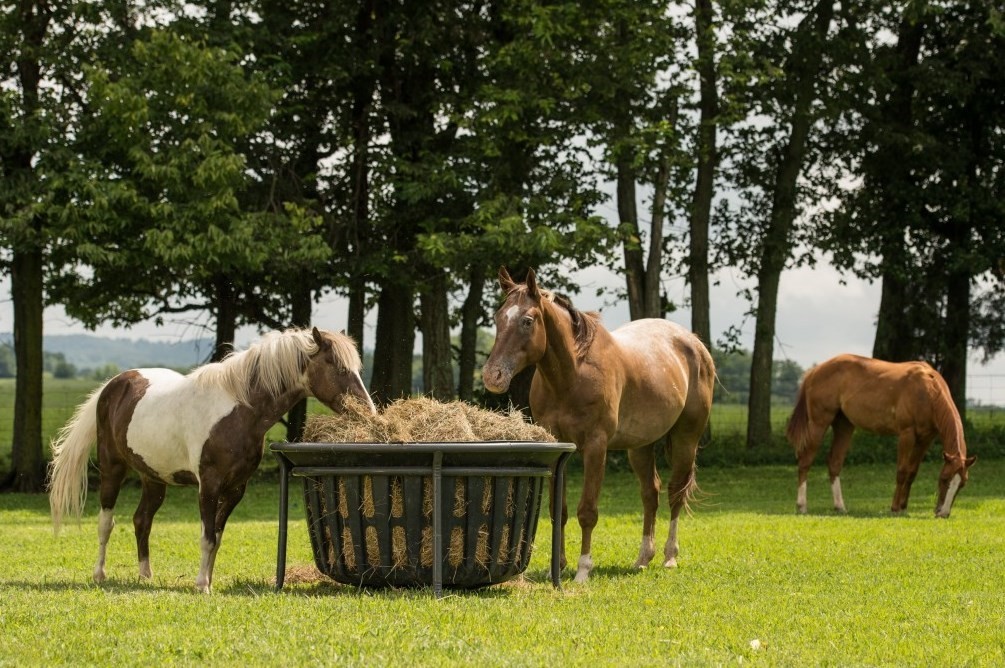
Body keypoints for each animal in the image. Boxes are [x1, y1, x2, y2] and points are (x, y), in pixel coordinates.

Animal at [47, 325, 377, 590]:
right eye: (337, 366)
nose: (368, 411)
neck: (239, 410)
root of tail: (113, 385)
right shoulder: (209, 485)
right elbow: (206, 536)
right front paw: (201, 585)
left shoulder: (235, 489)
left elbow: (217, 536)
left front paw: (209, 580)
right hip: (111, 468)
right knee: (106, 522)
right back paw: (99, 574)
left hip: (153, 478)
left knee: (142, 520)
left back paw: (145, 575)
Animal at [480, 269, 711, 582]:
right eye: (498, 317)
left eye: (527, 320)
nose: (493, 376)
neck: (573, 375)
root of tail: (693, 342)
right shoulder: (557, 447)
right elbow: (558, 509)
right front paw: (557, 565)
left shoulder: (595, 447)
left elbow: (587, 511)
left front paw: (582, 570)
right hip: (640, 447)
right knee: (650, 494)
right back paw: (643, 558)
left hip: (687, 439)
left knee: (675, 492)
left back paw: (669, 557)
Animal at [783, 353, 972, 514]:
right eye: (944, 479)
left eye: (962, 484)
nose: (943, 513)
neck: (928, 391)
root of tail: (814, 371)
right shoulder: (906, 435)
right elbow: (902, 471)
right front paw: (895, 508)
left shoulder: (925, 440)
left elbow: (912, 472)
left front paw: (903, 506)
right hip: (819, 423)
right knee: (805, 461)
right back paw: (802, 506)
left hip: (844, 425)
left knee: (834, 463)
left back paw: (840, 507)